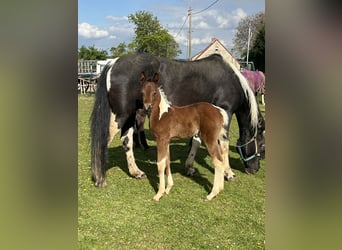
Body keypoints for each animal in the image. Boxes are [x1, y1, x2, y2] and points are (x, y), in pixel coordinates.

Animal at [90, 54, 264, 188]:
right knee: (103, 141)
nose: (255, 169)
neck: (231, 80)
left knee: (126, 140)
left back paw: (136, 172)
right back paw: (99, 179)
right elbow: (225, 145)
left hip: (130, 115)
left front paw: (190, 168)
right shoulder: (224, 112)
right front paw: (229, 173)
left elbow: (196, 142)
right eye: (262, 144)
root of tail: (113, 63)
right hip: (120, 116)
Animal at [140, 72, 234, 201]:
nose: (147, 107)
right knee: (222, 158)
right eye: (142, 92)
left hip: (209, 139)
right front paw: (168, 189)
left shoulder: (161, 139)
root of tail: (219, 111)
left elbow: (160, 164)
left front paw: (159, 194)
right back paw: (220, 189)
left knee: (218, 161)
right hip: (216, 139)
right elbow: (167, 161)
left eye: (154, 93)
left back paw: (212, 194)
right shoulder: (167, 141)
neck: (161, 114)